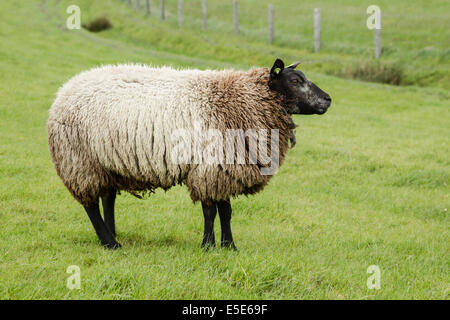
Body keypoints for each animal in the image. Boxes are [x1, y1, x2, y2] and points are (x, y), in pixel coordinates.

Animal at [47, 58, 332, 251]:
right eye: (295, 81)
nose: (328, 99)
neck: (241, 99)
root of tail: (63, 91)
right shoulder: (209, 167)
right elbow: (210, 211)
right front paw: (208, 246)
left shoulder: (223, 169)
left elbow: (226, 211)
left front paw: (229, 247)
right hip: (80, 160)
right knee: (91, 205)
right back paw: (109, 242)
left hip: (107, 162)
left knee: (107, 199)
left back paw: (113, 235)